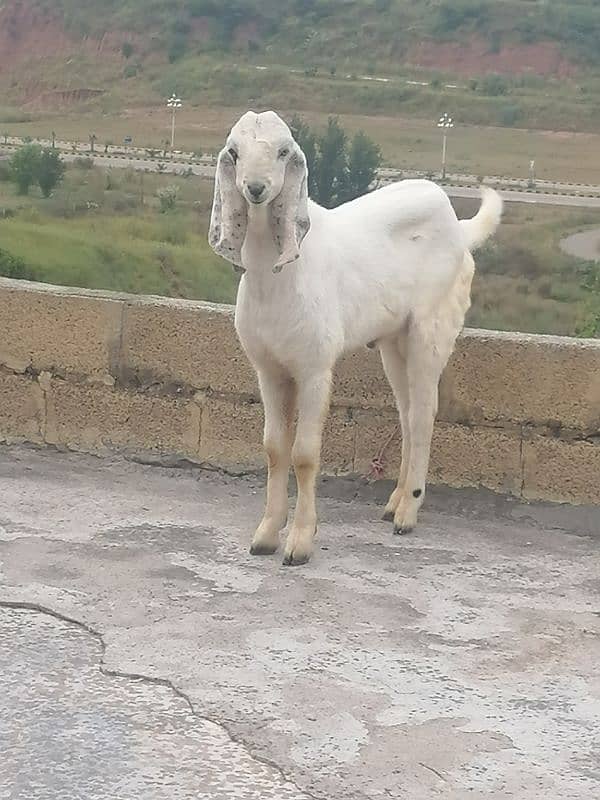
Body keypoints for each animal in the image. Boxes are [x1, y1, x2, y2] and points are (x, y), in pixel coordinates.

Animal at [209, 109, 500, 564]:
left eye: (284, 151)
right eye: (234, 152)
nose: (255, 188)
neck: (279, 274)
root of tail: (459, 227)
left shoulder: (315, 368)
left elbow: (305, 453)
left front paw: (300, 541)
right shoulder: (268, 369)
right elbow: (274, 448)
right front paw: (266, 534)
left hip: (432, 326)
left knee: (424, 413)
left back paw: (408, 514)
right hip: (394, 341)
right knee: (406, 413)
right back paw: (394, 502)